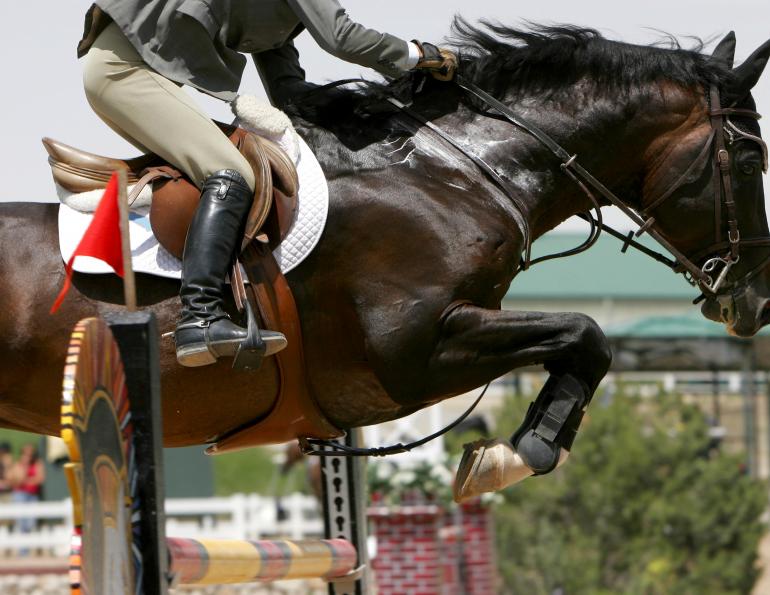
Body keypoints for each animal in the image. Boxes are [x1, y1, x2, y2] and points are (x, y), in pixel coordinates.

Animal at [1, 21, 768, 497]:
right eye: (751, 157)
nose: (754, 303)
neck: (455, 173)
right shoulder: (411, 351)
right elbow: (587, 334)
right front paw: (518, 454)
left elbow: (583, 344)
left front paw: (505, 454)